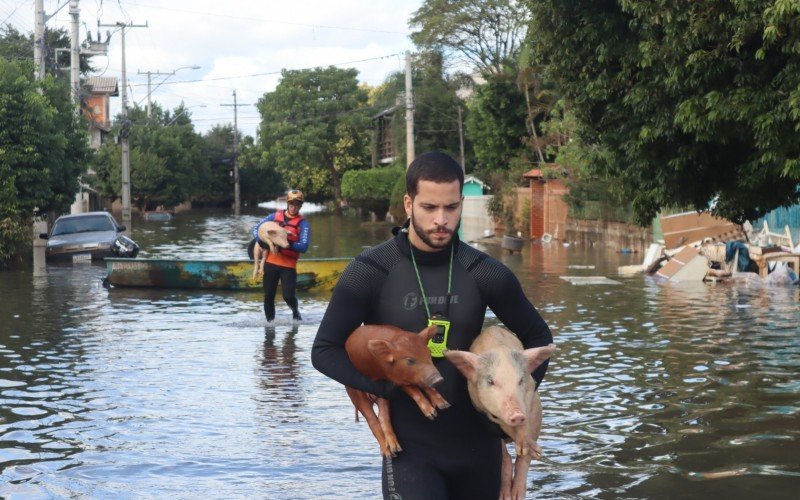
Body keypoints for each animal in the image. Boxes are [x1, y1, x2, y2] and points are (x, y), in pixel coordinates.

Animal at [346, 324, 454, 458]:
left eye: (428, 352)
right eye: (410, 360)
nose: (438, 379)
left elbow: (425, 385)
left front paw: (444, 405)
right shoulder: (394, 379)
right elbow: (413, 389)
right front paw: (432, 414)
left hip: (382, 397)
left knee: (383, 416)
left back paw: (395, 449)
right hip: (354, 393)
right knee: (372, 420)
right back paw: (388, 454)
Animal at [444, 326, 556, 500]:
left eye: (520, 380)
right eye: (491, 381)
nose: (517, 414)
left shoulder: (532, 396)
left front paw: (533, 450)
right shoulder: (482, 408)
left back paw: (517, 494)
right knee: (506, 457)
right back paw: (506, 496)